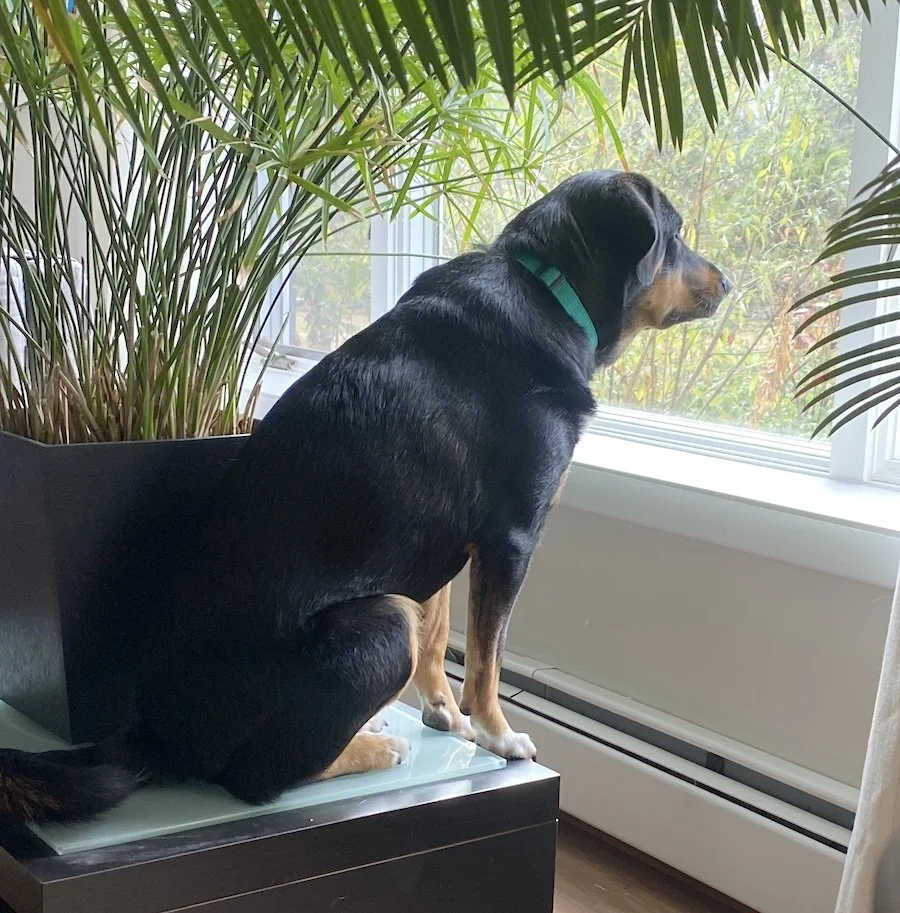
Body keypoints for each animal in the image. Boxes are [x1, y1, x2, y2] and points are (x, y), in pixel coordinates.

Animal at [0, 170, 731, 823]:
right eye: (674, 235)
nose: (729, 280)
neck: (546, 286)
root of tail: (158, 731)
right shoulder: (511, 538)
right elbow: (488, 661)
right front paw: (497, 735)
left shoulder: (446, 543)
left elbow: (442, 640)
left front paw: (443, 712)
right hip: (382, 618)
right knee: (257, 778)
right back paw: (371, 748)